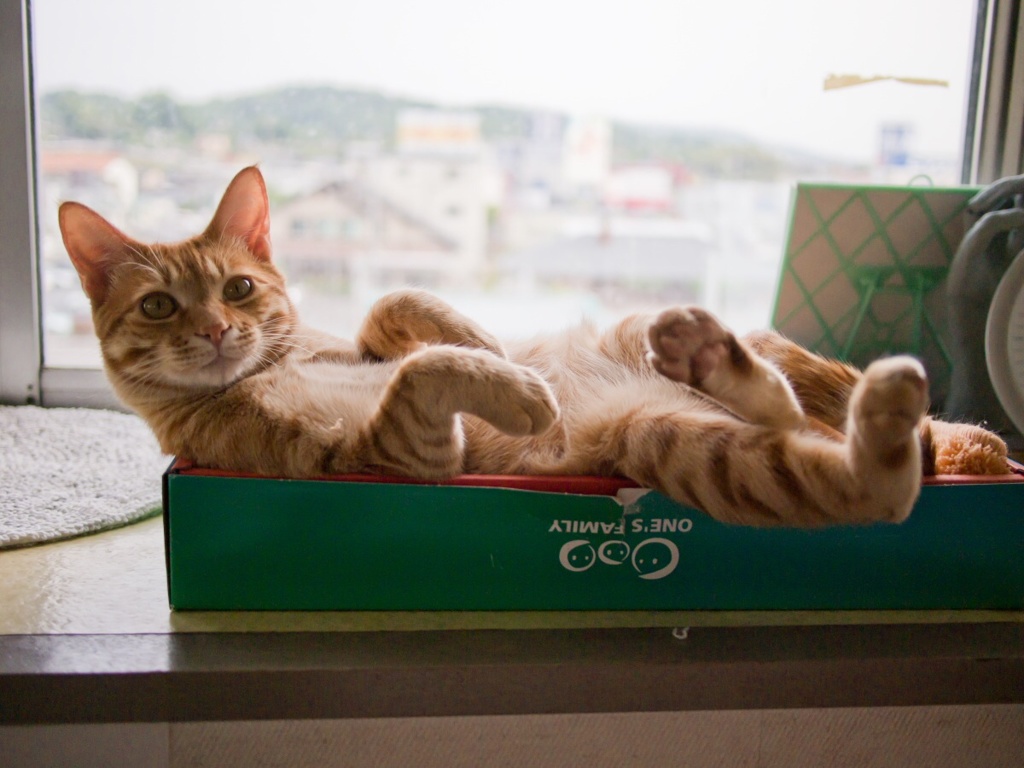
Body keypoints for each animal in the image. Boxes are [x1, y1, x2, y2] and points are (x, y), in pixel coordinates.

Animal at [58, 166, 1010, 528]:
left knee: (820, 400)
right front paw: (517, 389)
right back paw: (884, 414)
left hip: (650, 342)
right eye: (157, 306)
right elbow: (425, 370)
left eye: (239, 289)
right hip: (688, 448)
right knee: (877, 481)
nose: (216, 331)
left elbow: (401, 312)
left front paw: (488, 341)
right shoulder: (395, 454)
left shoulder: (369, 338)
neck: (276, 366)